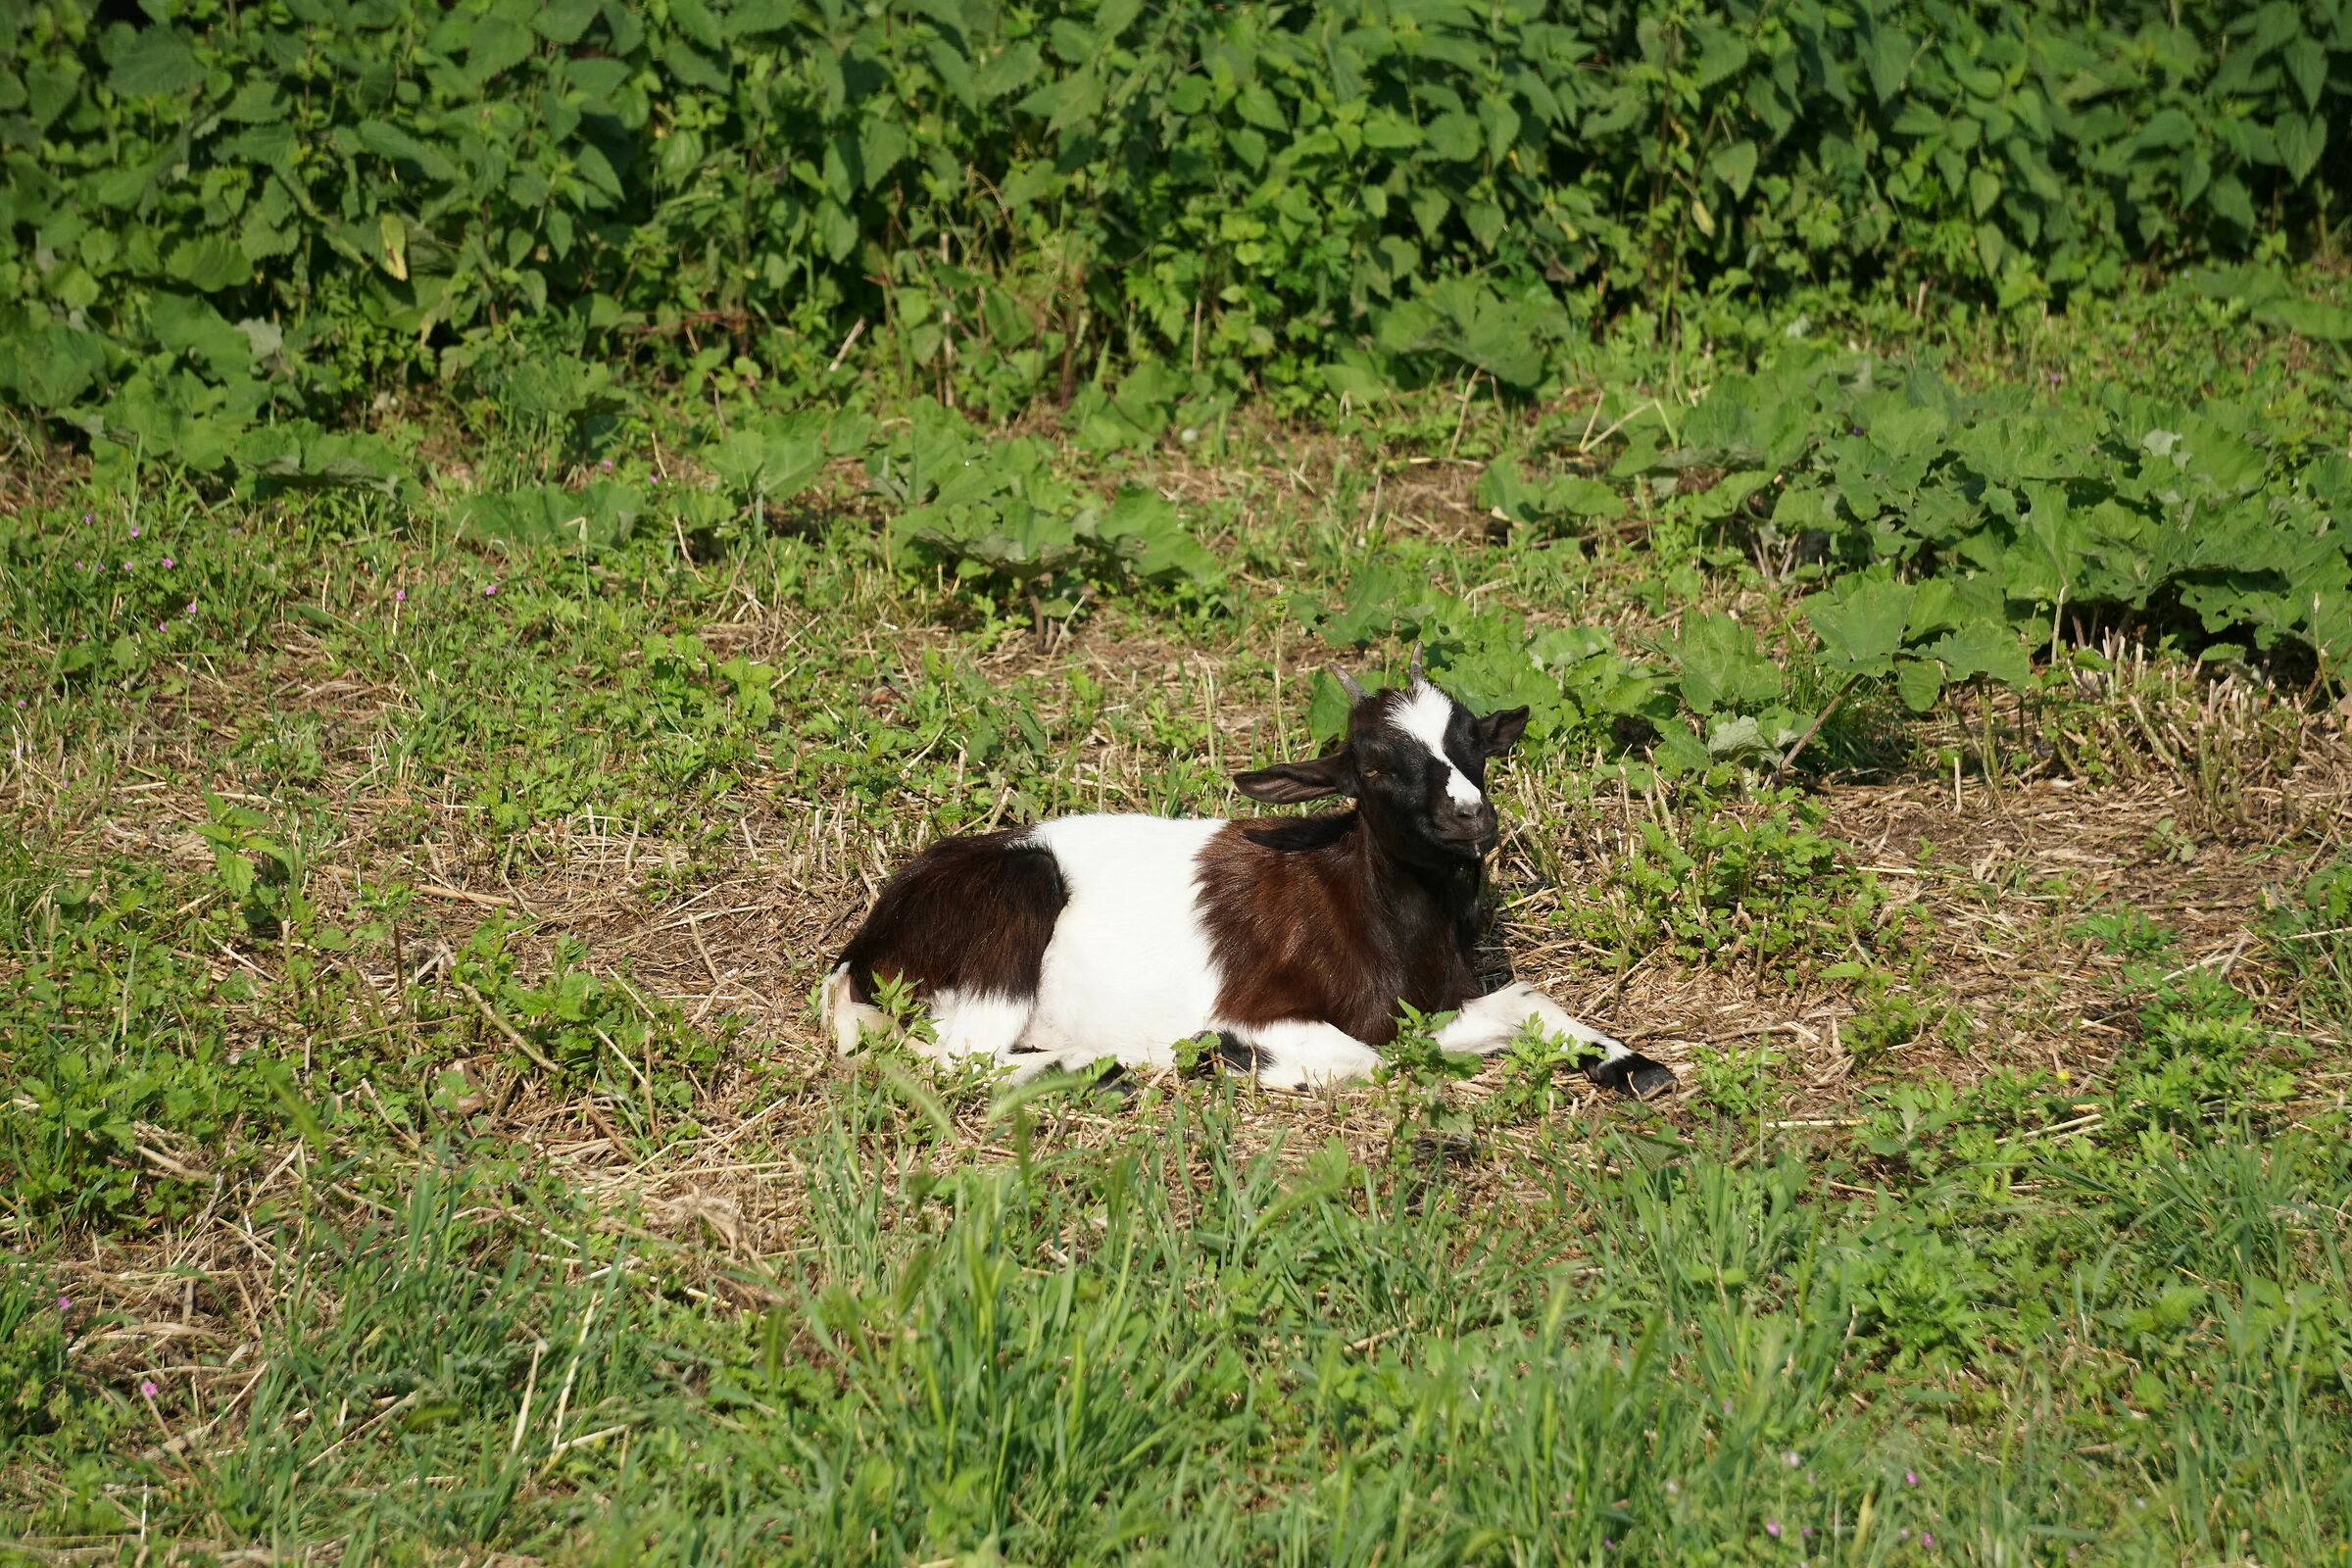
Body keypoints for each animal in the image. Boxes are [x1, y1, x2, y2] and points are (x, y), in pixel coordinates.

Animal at [823, 656, 1675, 1098]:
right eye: (1371, 765)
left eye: (1474, 743)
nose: (1470, 817)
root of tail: (864, 948)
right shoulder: (1268, 1003)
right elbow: (1370, 1059)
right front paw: (1229, 1052)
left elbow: (1525, 1001)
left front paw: (1635, 1065)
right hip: (1007, 932)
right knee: (955, 1058)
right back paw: (1106, 1062)